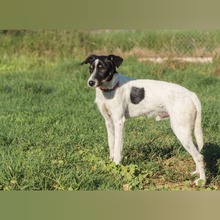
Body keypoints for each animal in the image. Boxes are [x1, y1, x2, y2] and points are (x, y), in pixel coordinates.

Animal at [81, 53, 206, 186]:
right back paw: (197, 173)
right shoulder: (108, 122)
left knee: (199, 156)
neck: (110, 89)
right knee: (196, 153)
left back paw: (202, 181)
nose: (90, 82)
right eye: (91, 68)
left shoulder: (119, 122)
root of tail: (190, 94)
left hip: (181, 130)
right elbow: (111, 145)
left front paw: (116, 166)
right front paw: (111, 164)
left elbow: (118, 148)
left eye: (103, 68)